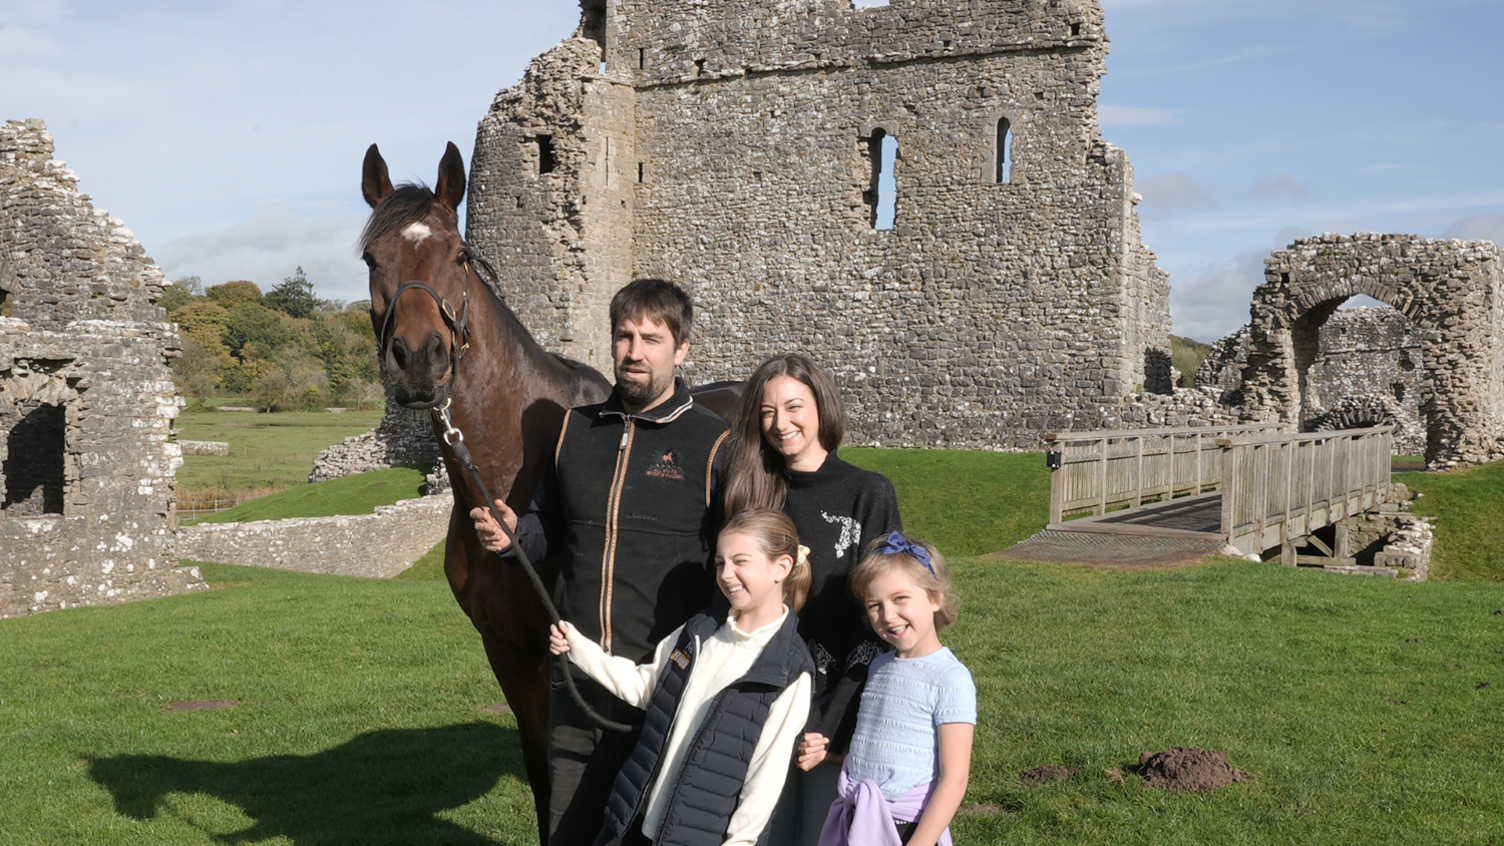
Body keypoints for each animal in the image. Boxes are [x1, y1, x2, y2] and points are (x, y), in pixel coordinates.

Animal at [363, 139, 739, 836]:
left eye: (458, 253)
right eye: (372, 257)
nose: (420, 360)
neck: (509, 466)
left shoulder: (557, 658)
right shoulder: (506, 651)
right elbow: (543, 776)